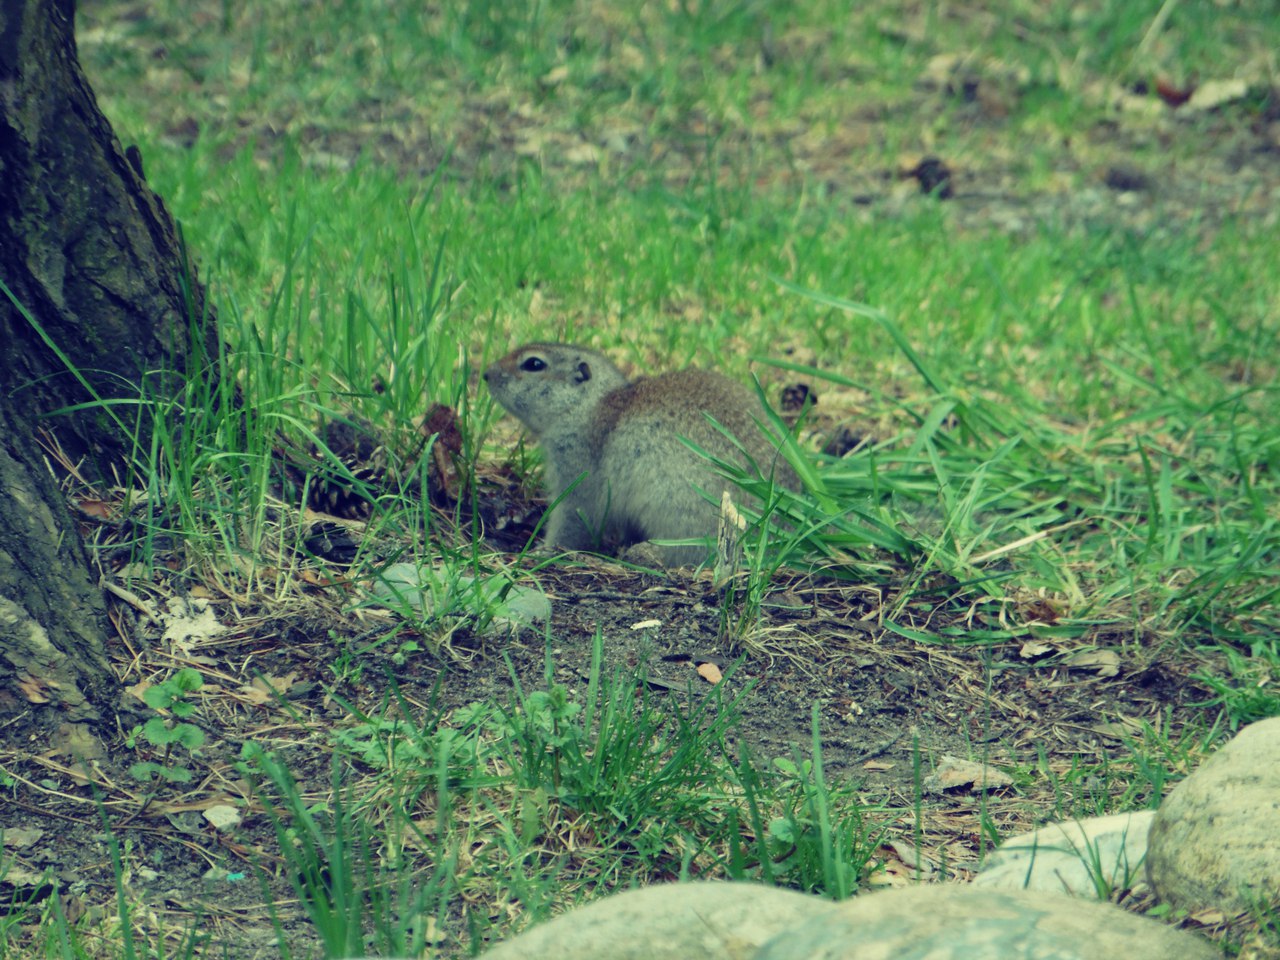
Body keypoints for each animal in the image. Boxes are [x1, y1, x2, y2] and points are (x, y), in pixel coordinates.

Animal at [483, 343, 793, 568]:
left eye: (534, 364)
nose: (486, 373)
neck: (589, 407)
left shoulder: (577, 471)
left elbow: (574, 518)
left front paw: (542, 551)